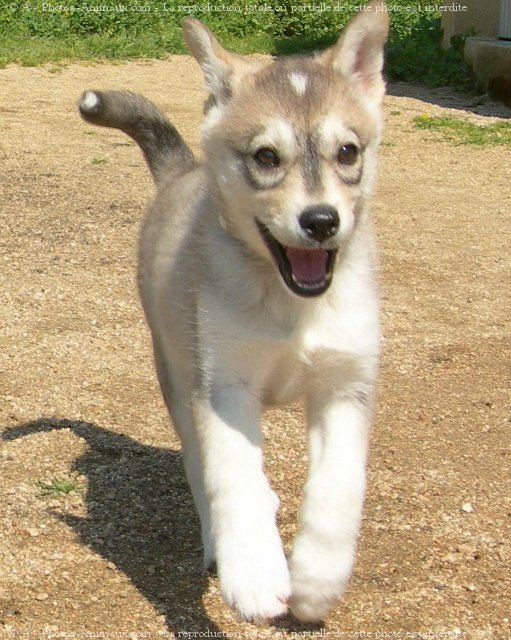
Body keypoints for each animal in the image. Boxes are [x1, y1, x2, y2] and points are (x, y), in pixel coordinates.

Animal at [80, 2, 390, 624]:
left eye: (348, 151)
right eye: (266, 157)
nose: (321, 221)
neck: (290, 305)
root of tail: (181, 171)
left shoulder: (345, 385)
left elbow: (339, 489)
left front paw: (316, 581)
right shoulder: (223, 386)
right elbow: (233, 479)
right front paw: (254, 573)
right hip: (177, 377)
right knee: (199, 469)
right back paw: (217, 546)